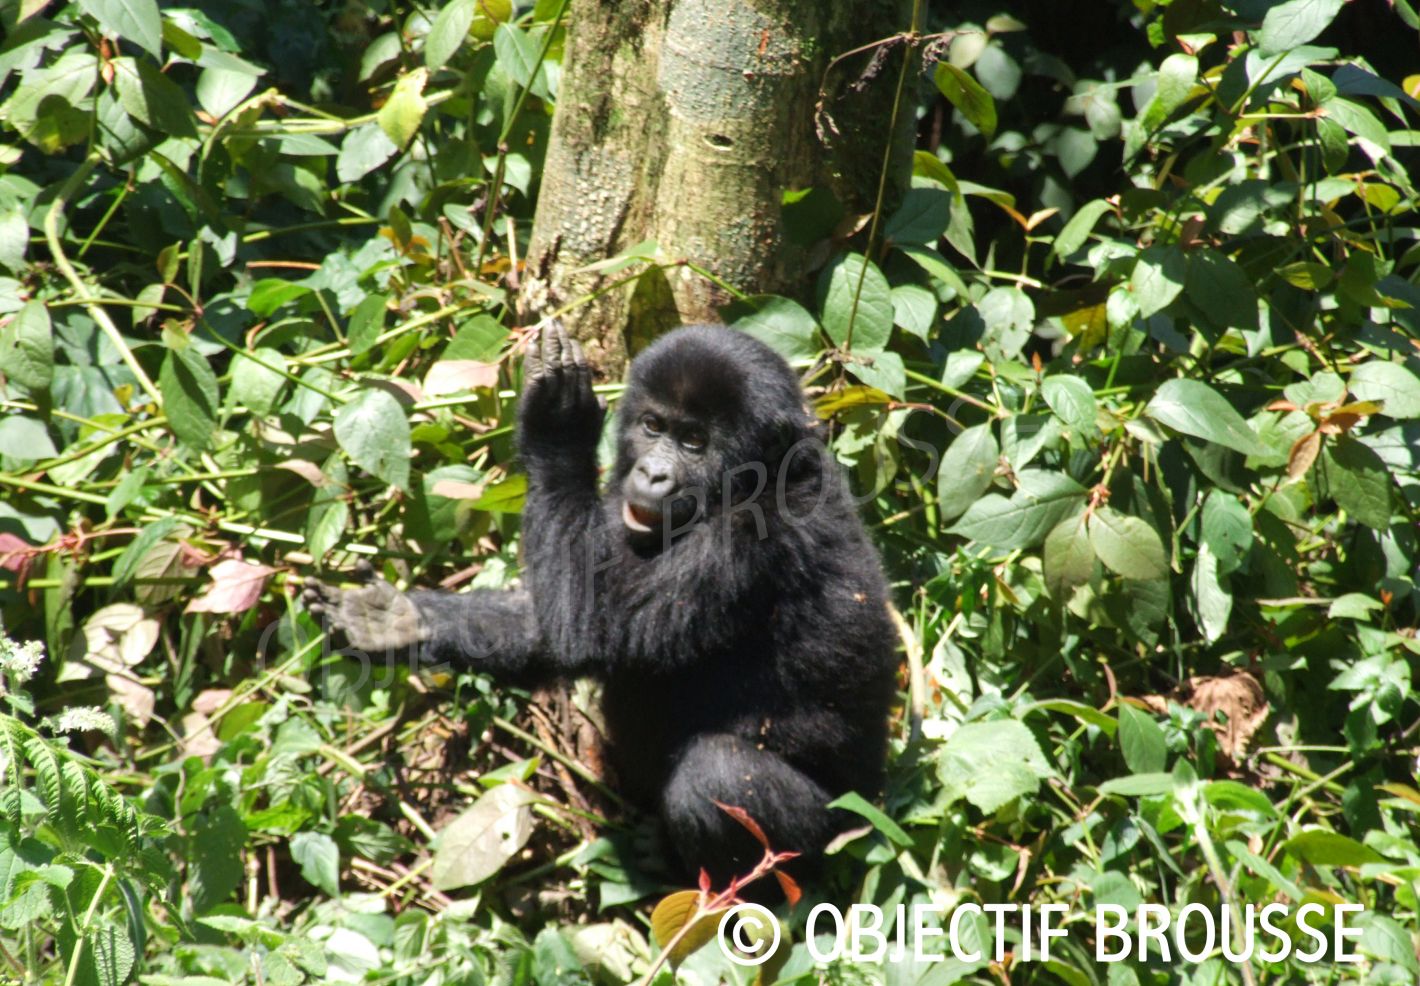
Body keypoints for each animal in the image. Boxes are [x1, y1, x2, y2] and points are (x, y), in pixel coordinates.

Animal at [305, 323, 897, 886]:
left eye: (695, 441)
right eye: (654, 427)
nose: (653, 474)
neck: (763, 476)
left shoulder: (745, 543)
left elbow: (592, 628)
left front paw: (556, 423)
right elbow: (555, 618)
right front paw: (399, 623)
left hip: (838, 838)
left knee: (720, 773)